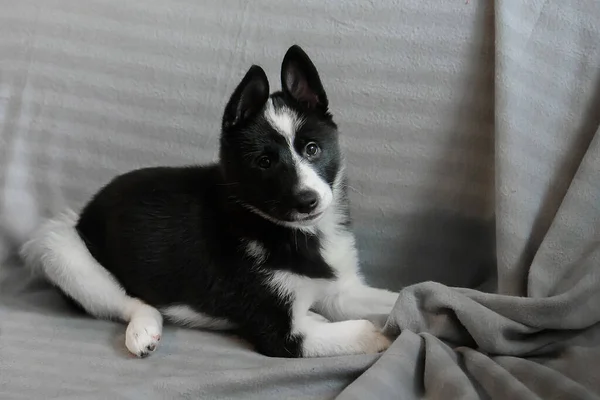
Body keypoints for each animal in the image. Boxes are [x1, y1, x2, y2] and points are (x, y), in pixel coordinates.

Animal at [21, 45, 398, 358]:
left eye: (313, 149)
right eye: (265, 162)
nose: (308, 201)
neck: (286, 230)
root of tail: (86, 211)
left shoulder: (341, 291)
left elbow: (391, 299)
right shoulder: (279, 333)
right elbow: (361, 331)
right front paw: (387, 336)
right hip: (63, 250)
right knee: (134, 302)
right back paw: (142, 330)